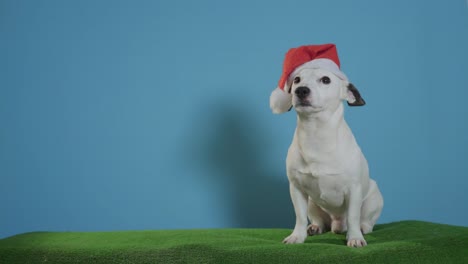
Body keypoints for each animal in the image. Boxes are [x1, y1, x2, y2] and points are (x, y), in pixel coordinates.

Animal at [270, 44, 384, 246]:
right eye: (297, 80)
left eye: (325, 80)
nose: (301, 90)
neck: (316, 132)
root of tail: (338, 224)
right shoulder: (297, 189)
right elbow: (299, 217)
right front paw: (297, 236)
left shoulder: (354, 190)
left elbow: (353, 216)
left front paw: (355, 238)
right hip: (312, 203)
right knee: (318, 220)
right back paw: (315, 227)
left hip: (373, 198)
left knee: (364, 221)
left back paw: (361, 229)